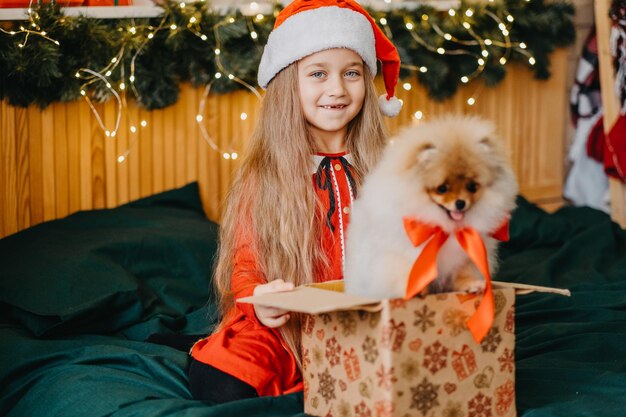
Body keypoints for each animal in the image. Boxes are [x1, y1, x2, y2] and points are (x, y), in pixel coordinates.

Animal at [344, 114, 516, 300]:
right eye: (442, 188)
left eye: (471, 187)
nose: (460, 203)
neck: (444, 227)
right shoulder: (399, 255)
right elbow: (405, 273)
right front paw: (414, 289)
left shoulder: (464, 257)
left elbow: (462, 274)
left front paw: (472, 284)